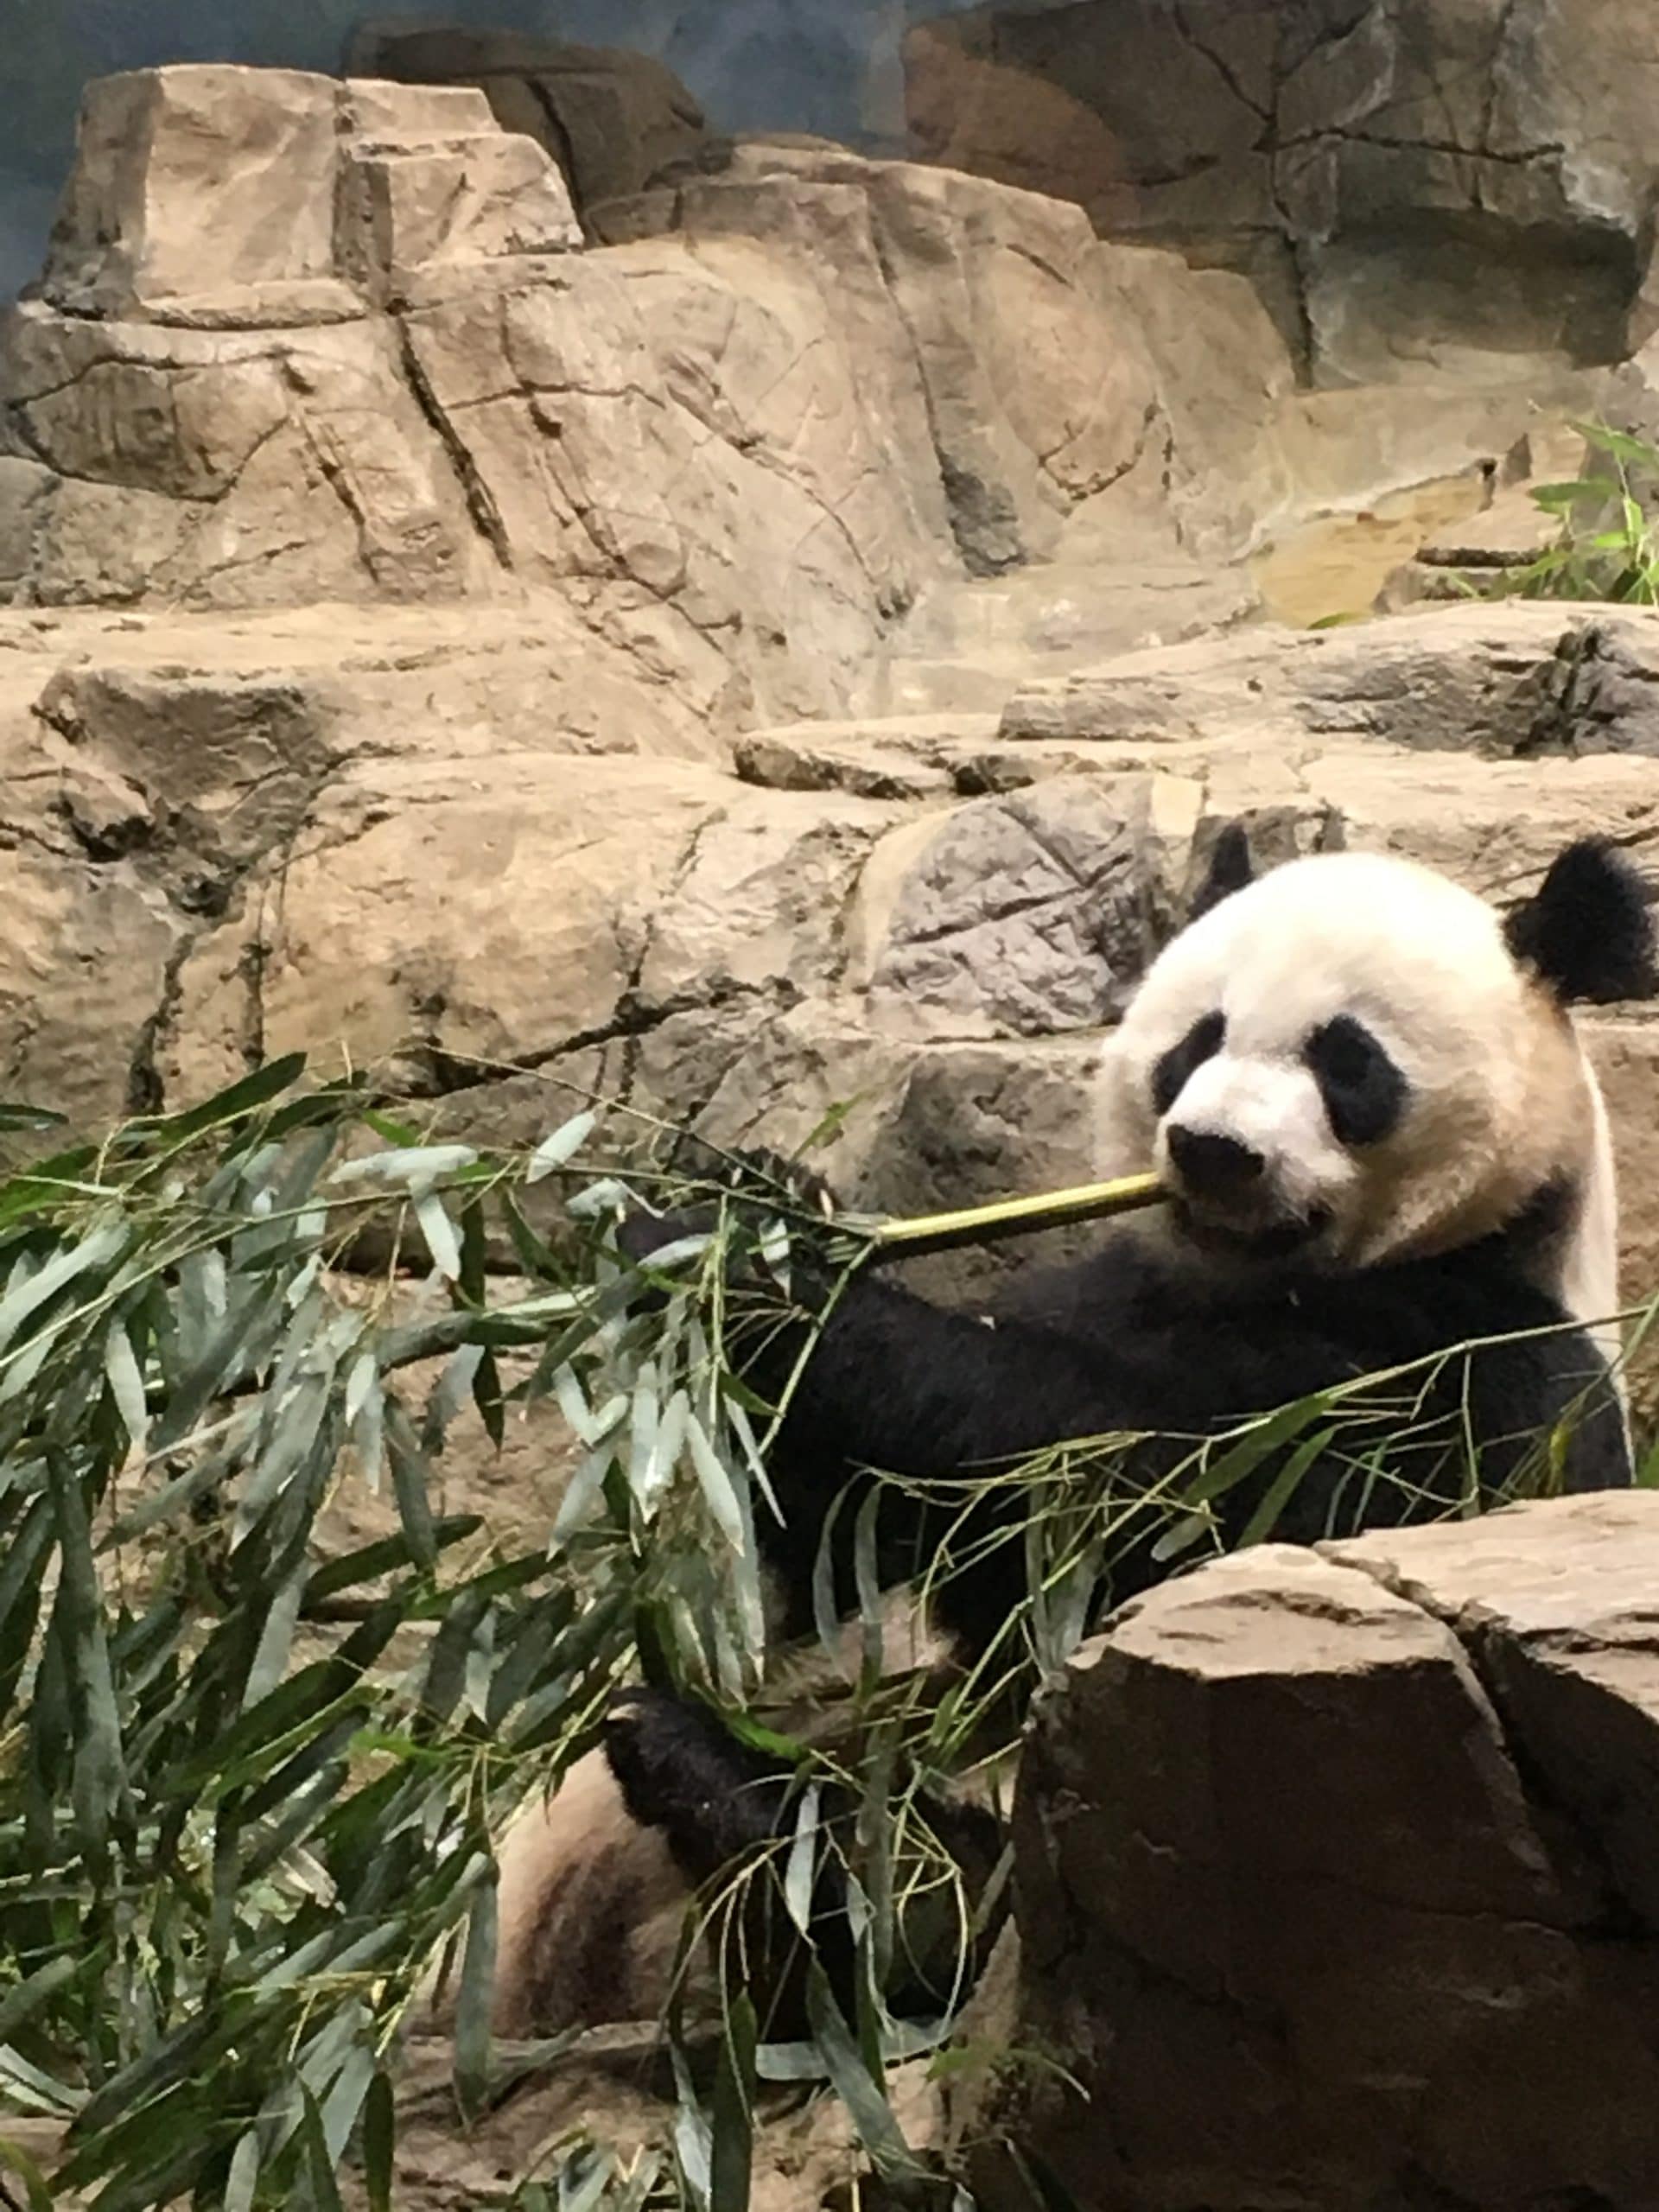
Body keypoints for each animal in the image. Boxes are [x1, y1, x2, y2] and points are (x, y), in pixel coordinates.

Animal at [473, 827, 1654, 2035]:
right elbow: (833, 1560)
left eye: (1347, 1062)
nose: (1213, 1150)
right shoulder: (1107, 1278)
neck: (1255, 1279)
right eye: (1197, 1040)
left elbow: (1158, 1504)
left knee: (937, 1894)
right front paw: (756, 1205)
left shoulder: (1483, 1361)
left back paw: (733, 1794)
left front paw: (770, 1270)